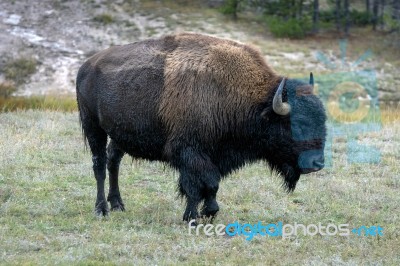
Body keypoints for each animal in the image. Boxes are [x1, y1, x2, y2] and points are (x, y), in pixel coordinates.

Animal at [76, 33, 326, 222]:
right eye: (296, 125)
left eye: (322, 120)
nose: (317, 164)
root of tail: (86, 66)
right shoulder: (189, 153)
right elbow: (198, 184)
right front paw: (193, 217)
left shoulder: (212, 155)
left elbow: (211, 185)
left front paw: (209, 212)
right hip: (93, 127)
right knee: (99, 165)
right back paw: (101, 209)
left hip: (119, 134)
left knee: (113, 161)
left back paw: (118, 204)